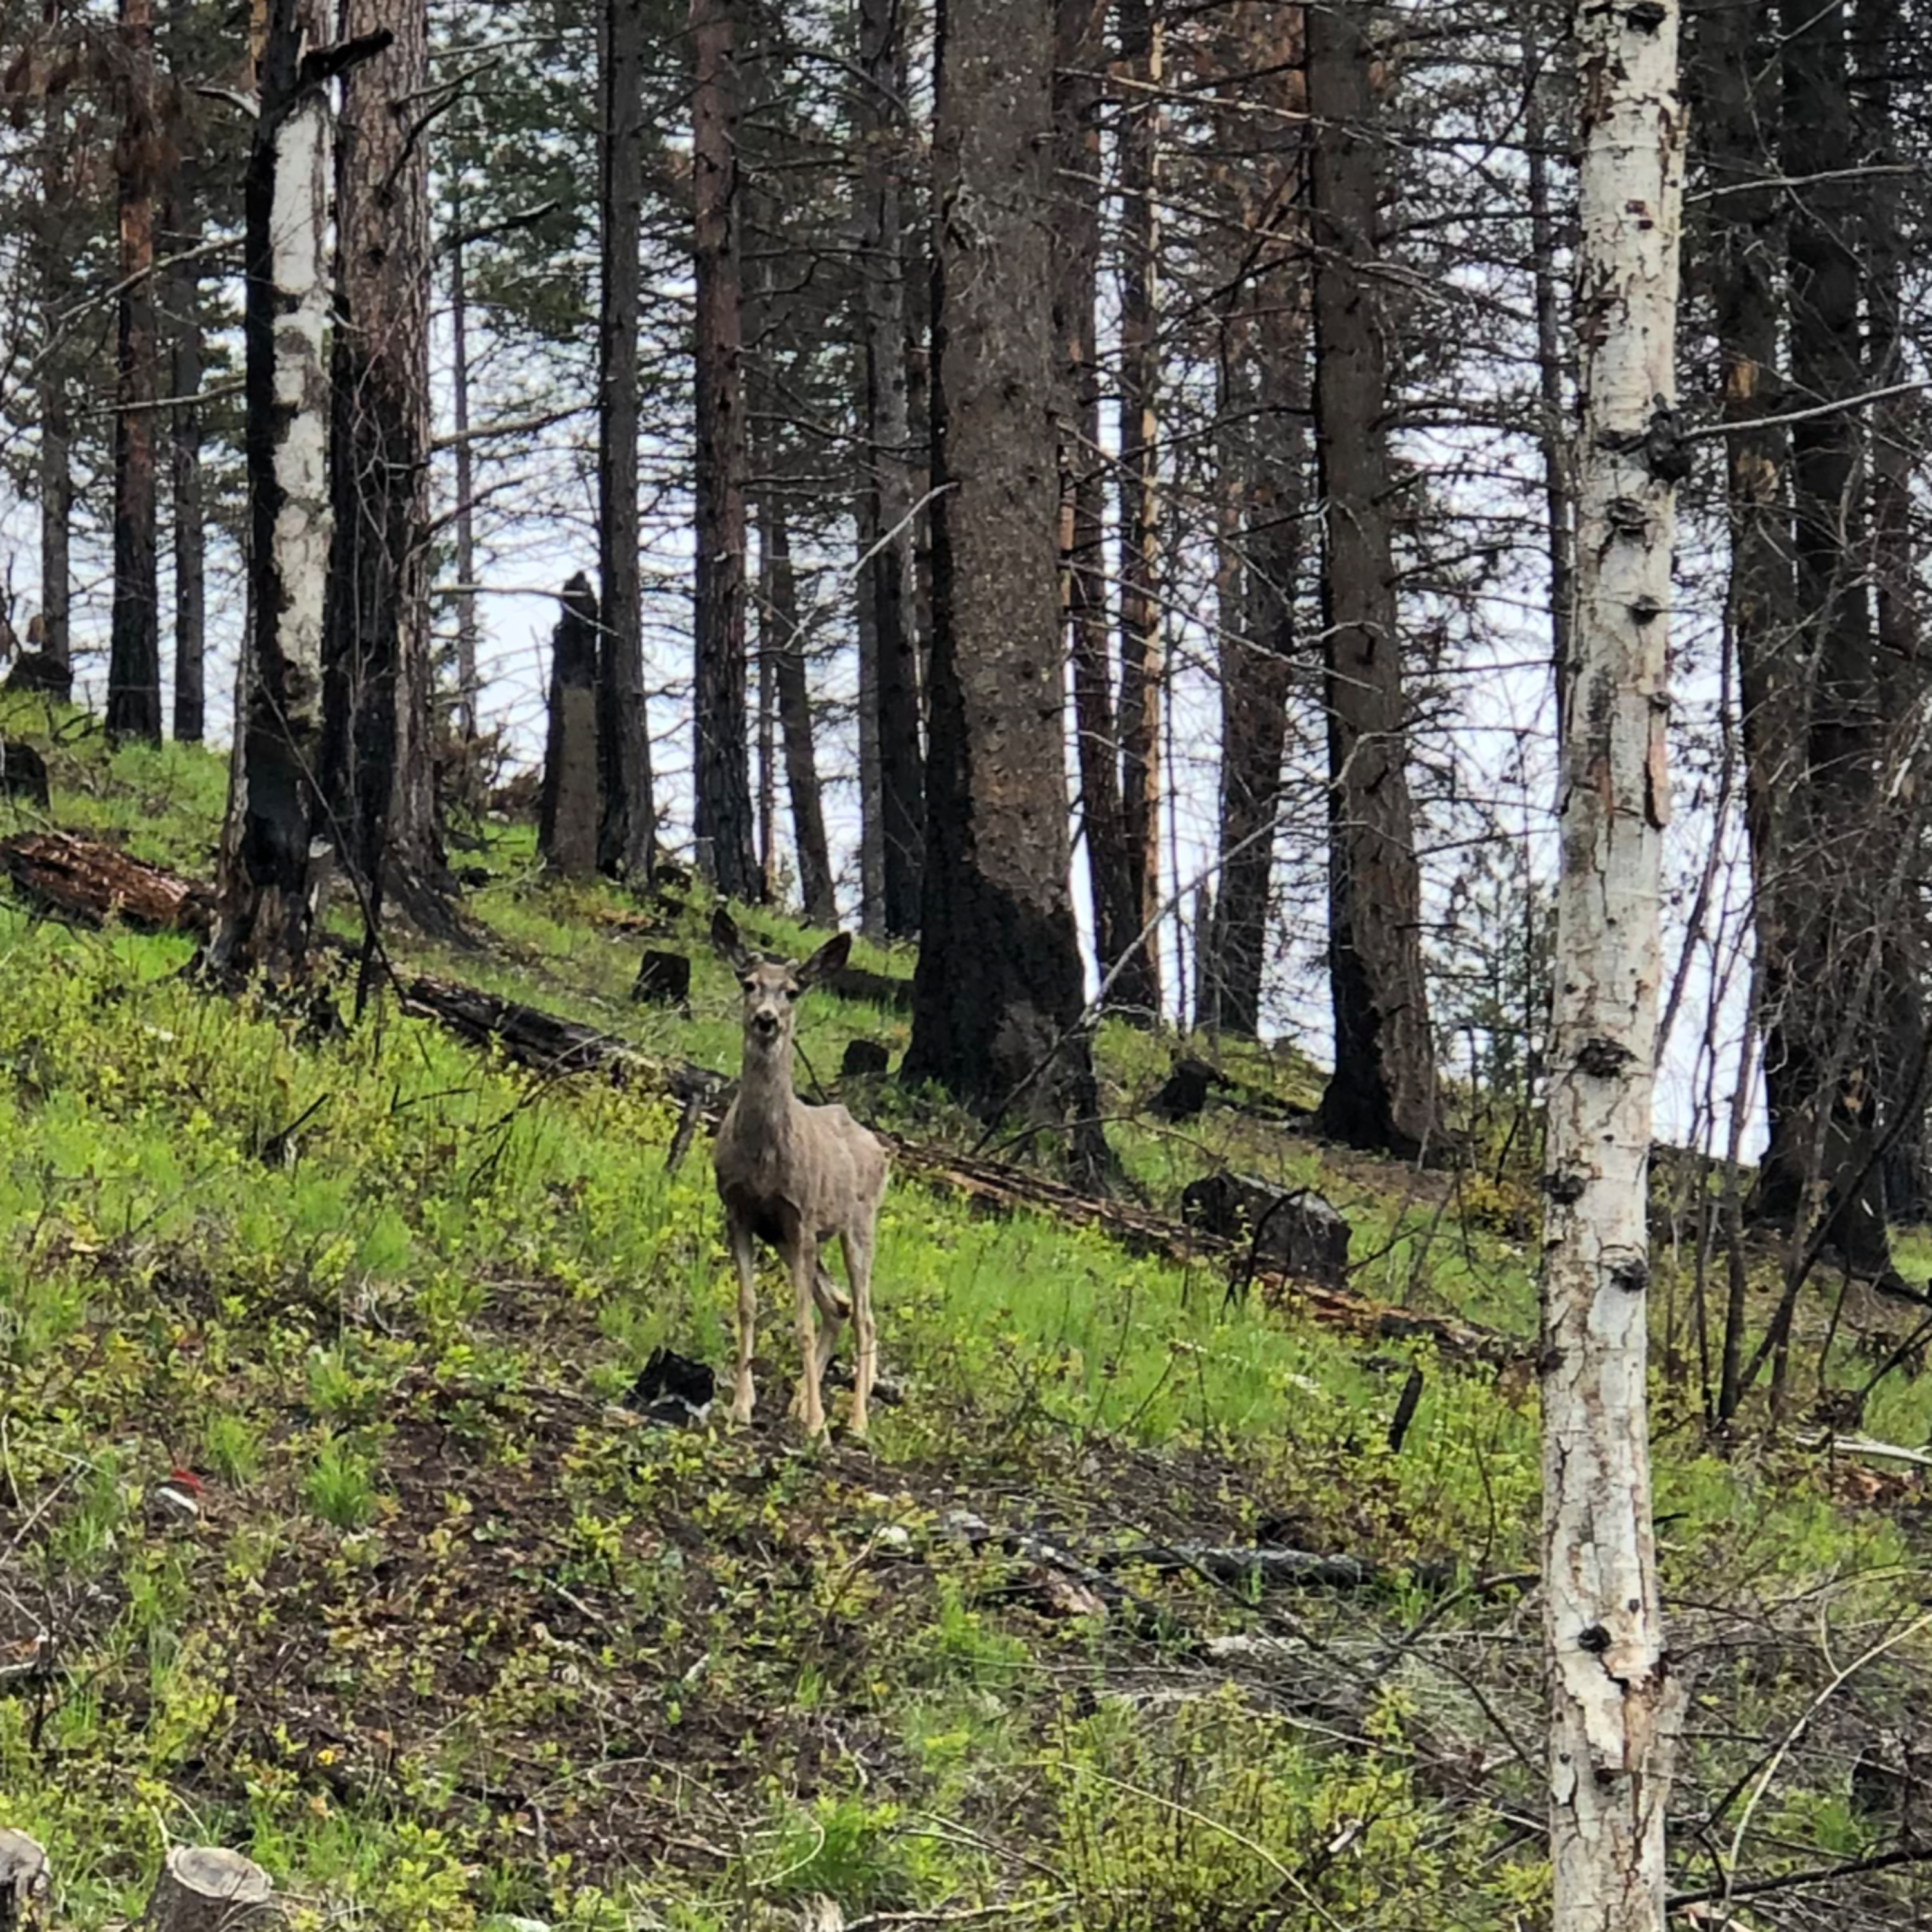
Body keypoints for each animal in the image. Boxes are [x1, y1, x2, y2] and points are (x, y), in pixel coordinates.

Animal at [710, 907, 889, 1439]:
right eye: (748, 983)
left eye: (792, 990)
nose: (766, 1020)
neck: (765, 1158)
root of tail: (882, 1148)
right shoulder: (741, 1214)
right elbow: (748, 1306)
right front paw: (741, 1407)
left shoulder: (803, 1217)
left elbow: (801, 1323)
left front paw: (816, 1425)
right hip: (793, 1241)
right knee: (839, 1306)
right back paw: (799, 1403)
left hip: (856, 1226)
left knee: (865, 1315)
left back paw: (855, 1421)